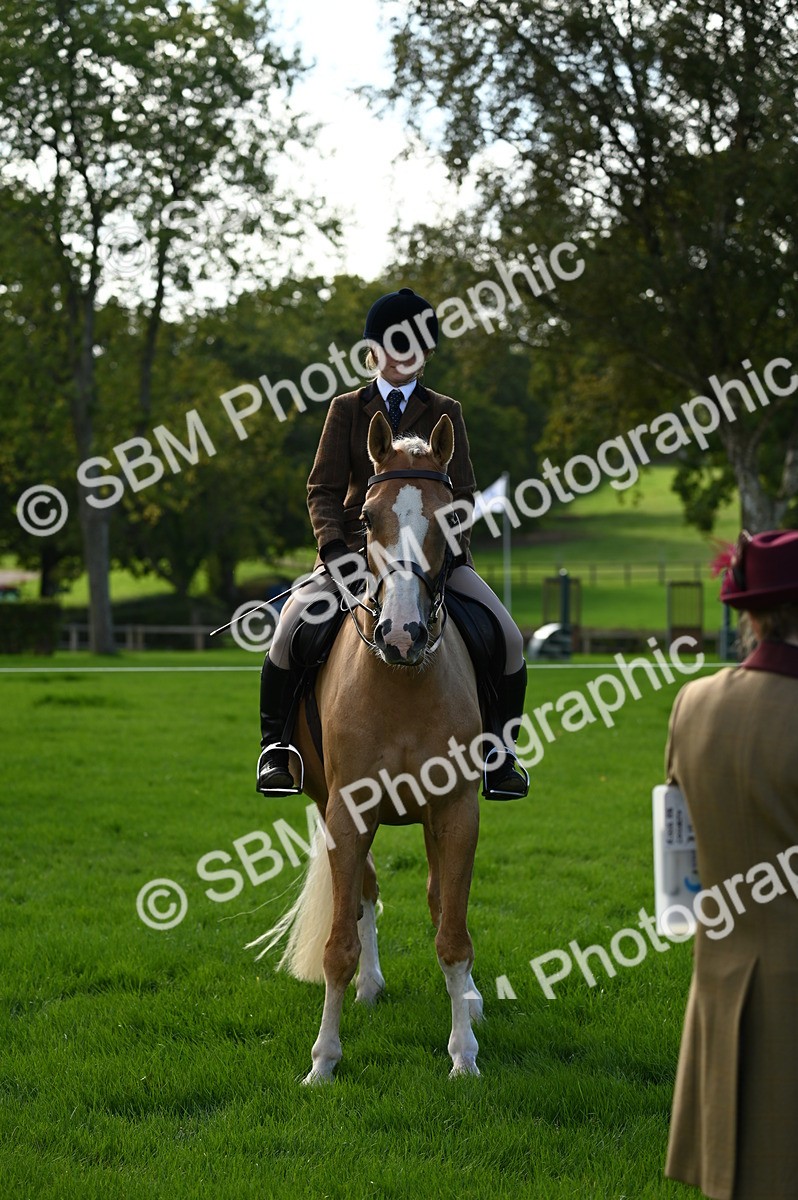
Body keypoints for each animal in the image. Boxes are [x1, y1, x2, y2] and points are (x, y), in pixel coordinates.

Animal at [248, 410, 484, 1083]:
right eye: (367, 517)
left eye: (451, 514)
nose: (402, 634)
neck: (400, 678)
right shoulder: (346, 814)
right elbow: (339, 943)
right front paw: (323, 1062)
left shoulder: (457, 810)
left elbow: (452, 933)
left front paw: (463, 1056)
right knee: (366, 895)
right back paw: (372, 987)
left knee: (437, 901)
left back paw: (470, 1000)